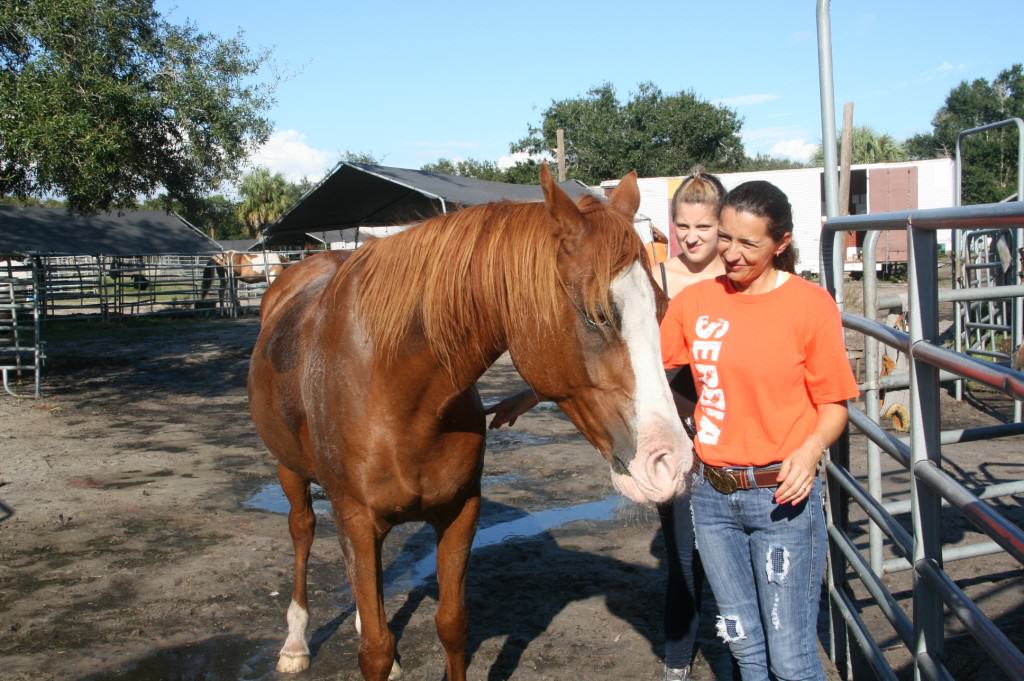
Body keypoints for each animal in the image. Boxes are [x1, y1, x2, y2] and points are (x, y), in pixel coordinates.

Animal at [248, 165, 696, 679]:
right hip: (290, 471)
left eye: (661, 308)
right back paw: (295, 642)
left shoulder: (460, 513)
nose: (672, 462)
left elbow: (452, 626)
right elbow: (375, 650)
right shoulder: (357, 518)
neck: (397, 393)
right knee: (302, 531)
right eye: (597, 315)